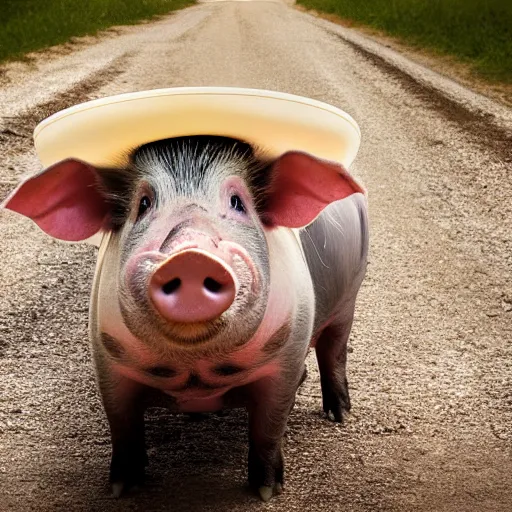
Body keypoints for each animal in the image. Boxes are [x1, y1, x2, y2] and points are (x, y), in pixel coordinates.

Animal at [2, 134, 366, 502]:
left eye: (238, 202)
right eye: (143, 203)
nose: (191, 257)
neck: (195, 365)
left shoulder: (287, 352)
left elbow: (268, 427)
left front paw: (266, 492)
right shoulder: (106, 357)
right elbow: (122, 425)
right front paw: (120, 489)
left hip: (350, 299)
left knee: (334, 351)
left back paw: (339, 415)